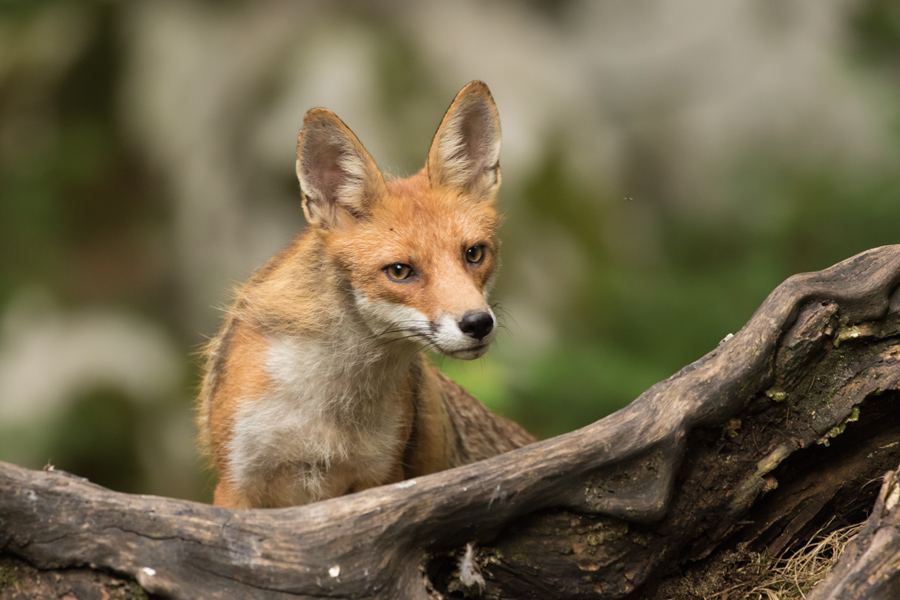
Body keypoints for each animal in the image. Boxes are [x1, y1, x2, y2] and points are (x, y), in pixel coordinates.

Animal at [197, 82, 536, 508]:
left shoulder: (379, 477)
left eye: (474, 254)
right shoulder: (237, 484)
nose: (478, 324)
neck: (327, 406)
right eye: (400, 271)